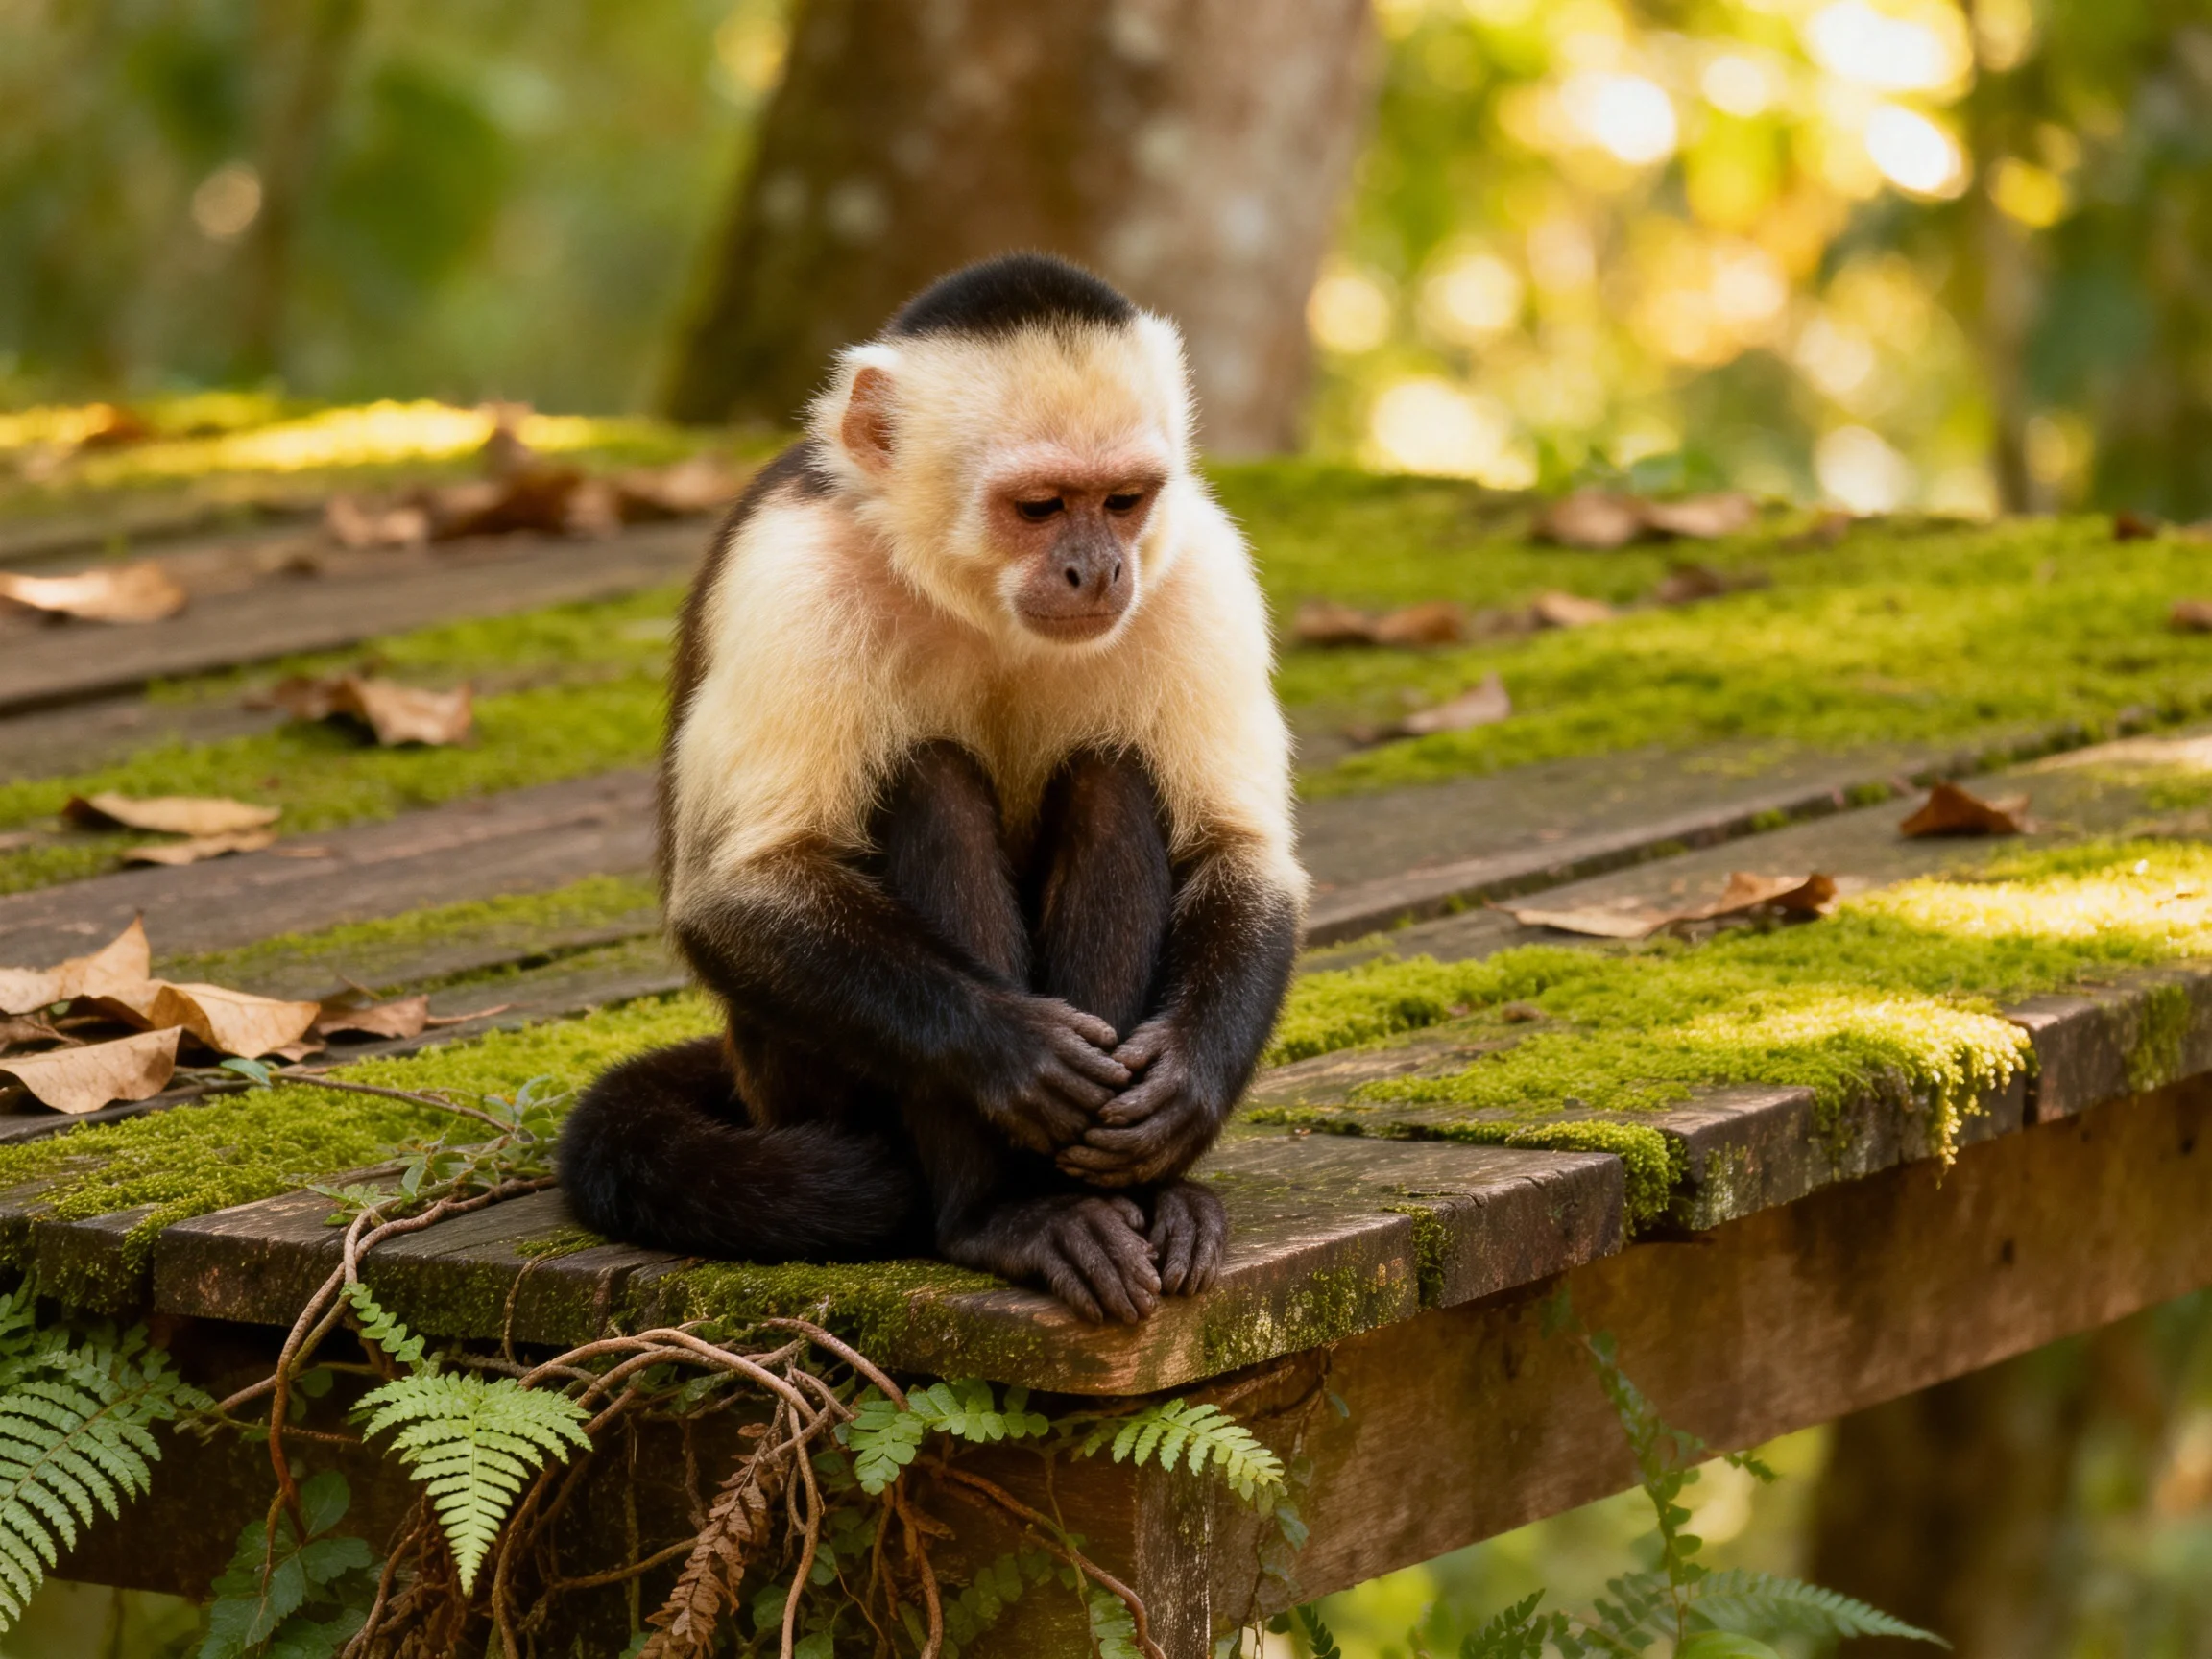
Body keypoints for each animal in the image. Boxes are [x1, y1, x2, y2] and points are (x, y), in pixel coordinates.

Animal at [557, 252, 1305, 1323]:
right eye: (1039, 507)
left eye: (1123, 500)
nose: (1095, 569)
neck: (972, 597)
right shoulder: (793, 575)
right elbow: (737, 890)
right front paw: (1007, 1050)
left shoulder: (1200, 566)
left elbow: (1240, 851)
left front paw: (1189, 1080)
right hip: (800, 1090)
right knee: (928, 780)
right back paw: (1004, 1216)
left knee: (1112, 777)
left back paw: (1140, 1200)